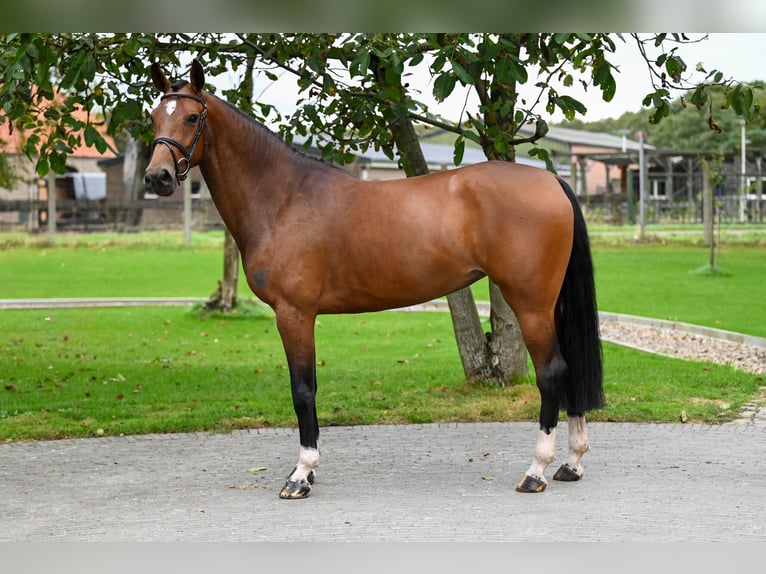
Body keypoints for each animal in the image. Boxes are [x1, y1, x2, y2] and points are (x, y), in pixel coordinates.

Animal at [142, 62, 600, 500]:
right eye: (154, 117)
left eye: (191, 117)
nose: (157, 177)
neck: (284, 198)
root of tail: (551, 180)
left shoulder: (294, 314)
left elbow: (303, 390)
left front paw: (301, 475)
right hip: (550, 304)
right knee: (571, 369)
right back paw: (572, 463)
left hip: (530, 303)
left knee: (552, 373)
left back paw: (536, 471)